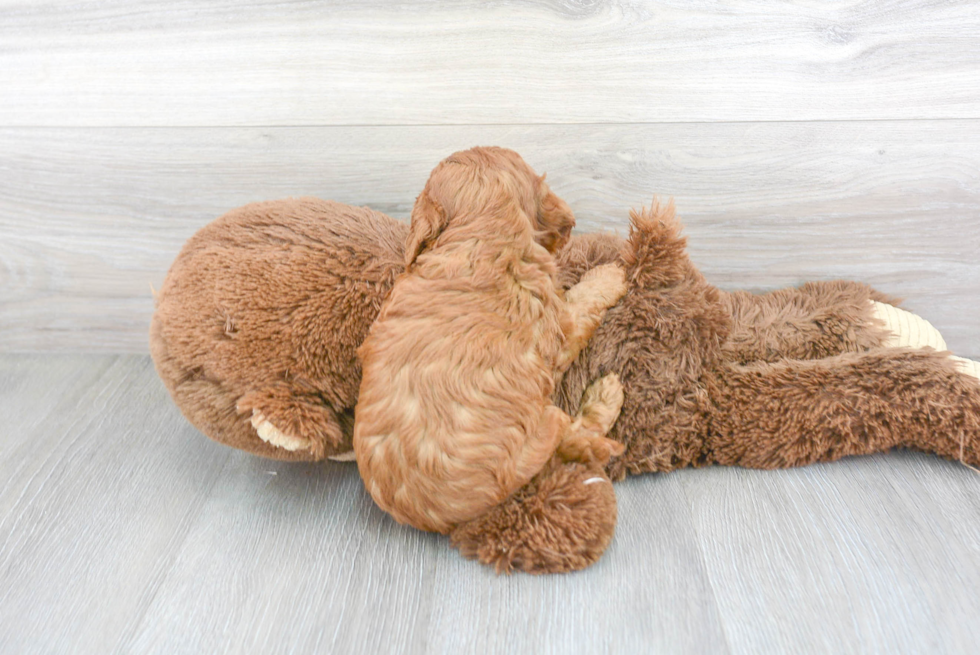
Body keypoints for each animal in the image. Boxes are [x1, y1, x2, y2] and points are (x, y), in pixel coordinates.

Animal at [356, 147, 624, 532]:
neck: (478, 240)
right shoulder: (559, 328)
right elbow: (584, 299)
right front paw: (611, 274)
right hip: (543, 429)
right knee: (576, 437)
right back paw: (607, 393)